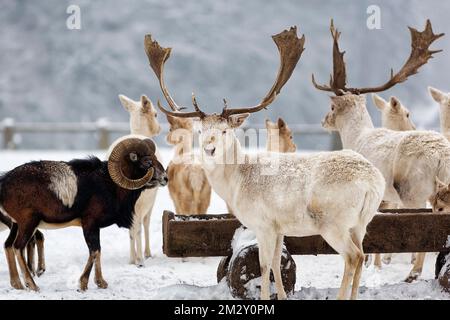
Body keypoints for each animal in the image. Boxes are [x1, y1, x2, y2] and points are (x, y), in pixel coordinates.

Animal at [117, 94, 163, 264]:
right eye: (155, 114)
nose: (159, 128)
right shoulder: (151, 198)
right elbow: (146, 223)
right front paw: (147, 253)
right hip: (142, 198)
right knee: (138, 225)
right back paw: (139, 258)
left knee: (131, 226)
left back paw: (132, 258)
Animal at [146, 25, 384, 300]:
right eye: (200, 131)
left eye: (225, 130)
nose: (209, 148)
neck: (237, 183)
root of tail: (372, 183)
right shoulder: (279, 227)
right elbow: (277, 266)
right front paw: (280, 295)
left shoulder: (263, 223)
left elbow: (264, 265)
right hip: (361, 222)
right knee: (362, 254)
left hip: (333, 222)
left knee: (352, 256)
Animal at [312, 19, 446, 282]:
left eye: (331, 107)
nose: (323, 121)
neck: (356, 138)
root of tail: (442, 157)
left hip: (414, 191)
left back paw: (414, 272)